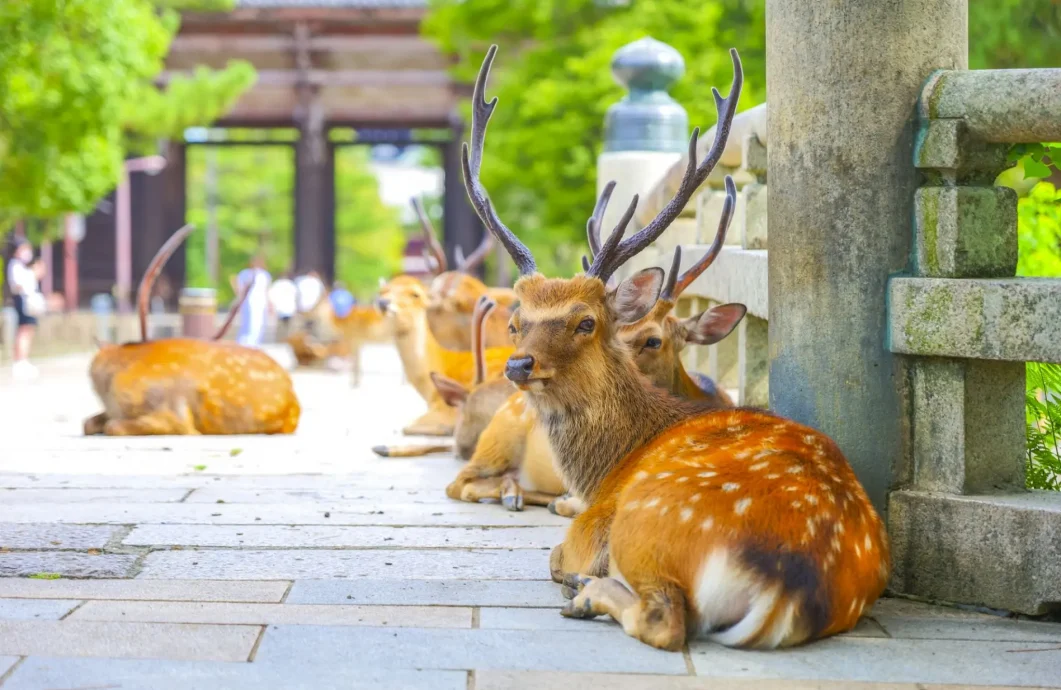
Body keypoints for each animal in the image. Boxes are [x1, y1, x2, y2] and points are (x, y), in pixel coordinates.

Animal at [458, 45, 890, 651]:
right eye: (517, 321)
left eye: (586, 321)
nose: (519, 364)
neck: (605, 467)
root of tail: (788, 583)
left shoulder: (590, 524)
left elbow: (554, 556)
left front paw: (576, 579)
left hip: (645, 522)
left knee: (663, 619)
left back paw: (588, 595)